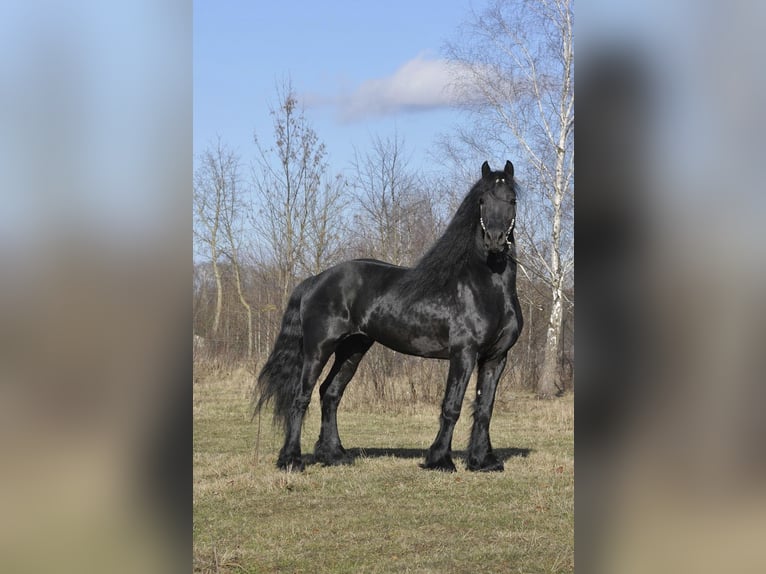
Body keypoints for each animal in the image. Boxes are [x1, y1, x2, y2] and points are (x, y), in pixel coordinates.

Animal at [255, 161, 524, 472]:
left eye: (512, 200)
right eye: (482, 200)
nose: (495, 240)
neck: (485, 287)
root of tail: (315, 280)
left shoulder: (496, 358)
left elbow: (484, 409)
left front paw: (483, 461)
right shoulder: (464, 354)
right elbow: (452, 406)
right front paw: (440, 460)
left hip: (353, 348)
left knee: (330, 393)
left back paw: (334, 455)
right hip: (318, 349)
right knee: (301, 397)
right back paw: (291, 460)